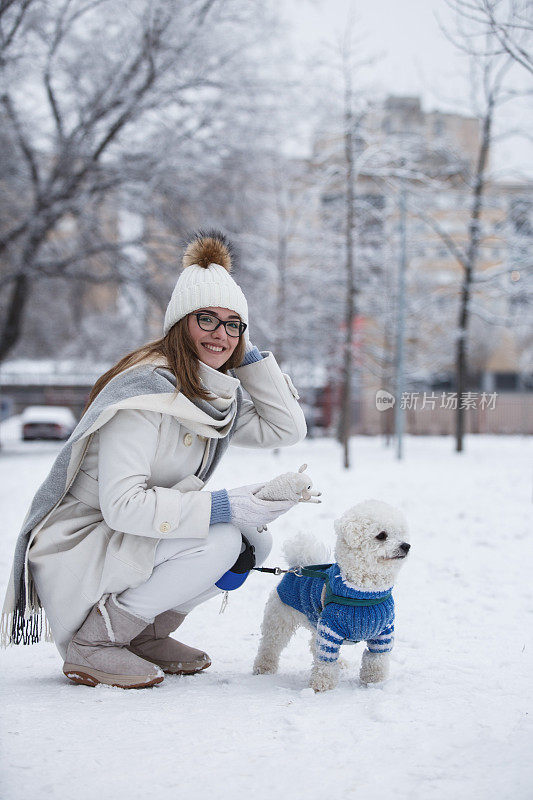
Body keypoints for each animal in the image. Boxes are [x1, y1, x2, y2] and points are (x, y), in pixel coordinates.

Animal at [251, 504, 410, 692]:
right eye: (382, 535)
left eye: (401, 533)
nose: (406, 546)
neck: (364, 592)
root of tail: (297, 567)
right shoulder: (330, 629)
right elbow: (325, 661)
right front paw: (321, 685)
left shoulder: (383, 632)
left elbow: (376, 659)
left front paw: (374, 681)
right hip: (280, 618)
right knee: (270, 645)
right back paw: (264, 667)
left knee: (312, 645)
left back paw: (340, 663)